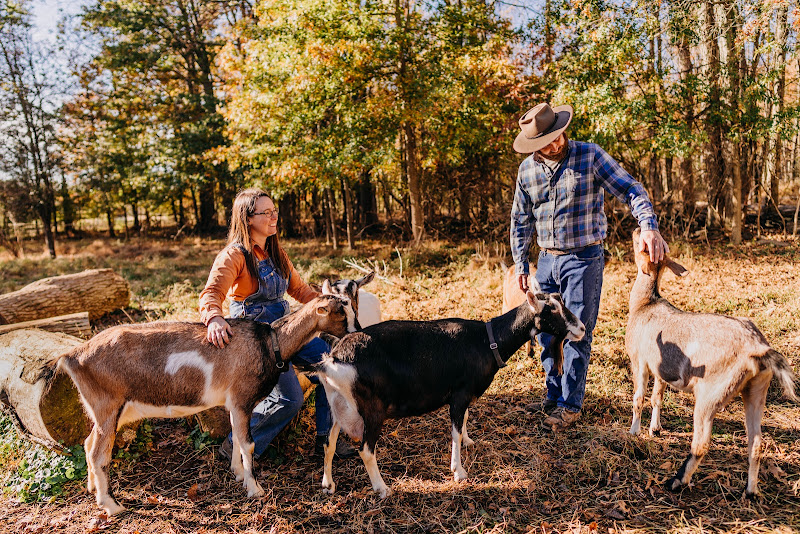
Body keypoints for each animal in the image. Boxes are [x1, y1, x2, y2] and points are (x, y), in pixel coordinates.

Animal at [53, 294, 358, 515]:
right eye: (340, 313)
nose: (355, 332)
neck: (269, 342)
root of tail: (73, 354)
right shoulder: (242, 399)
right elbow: (248, 443)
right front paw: (254, 488)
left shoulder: (233, 404)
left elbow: (236, 437)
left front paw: (237, 474)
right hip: (108, 407)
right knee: (98, 454)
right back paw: (111, 506)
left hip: (110, 412)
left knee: (88, 443)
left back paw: (92, 488)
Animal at [314, 282, 585, 498]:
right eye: (550, 311)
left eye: (561, 302)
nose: (582, 329)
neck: (487, 341)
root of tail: (334, 359)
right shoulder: (459, 394)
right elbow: (454, 429)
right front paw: (459, 471)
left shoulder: (464, 395)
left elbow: (463, 420)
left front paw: (468, 441)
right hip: (372, 410)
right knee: (366, 450)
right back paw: (382, 489)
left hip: (337, 405)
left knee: (329, 441)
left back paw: (328, 484)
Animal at [625, 228, 797, 498]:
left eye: (642, 246)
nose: (635, 230)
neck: (644, 305)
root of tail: (757, 347)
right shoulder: (661, 368)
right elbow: (657, 397)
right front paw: (655, 429)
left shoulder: (639, 360)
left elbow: (639, 397)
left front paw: (635, 432)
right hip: (757, 389)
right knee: (756, 442)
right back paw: (750, 491)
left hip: (710, 394)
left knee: (702, 442)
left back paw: (677, 481)